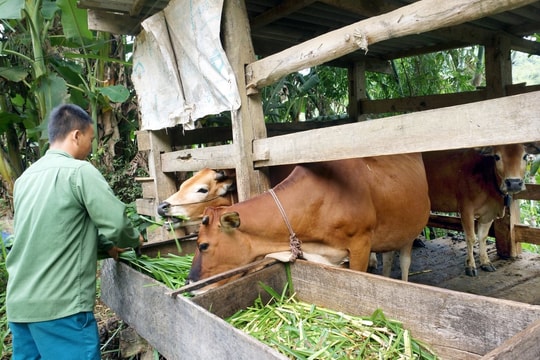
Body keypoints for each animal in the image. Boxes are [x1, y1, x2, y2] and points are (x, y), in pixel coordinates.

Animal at [187, 153, 430, 290]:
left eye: (203, 245)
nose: (189, 283)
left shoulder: (361, 244)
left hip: (410, 231)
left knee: (404, 262)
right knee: (388, 259)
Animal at [422, 143, 528, 276]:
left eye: (525, 156)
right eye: (497, 157)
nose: (513, 183)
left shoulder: (488, 213)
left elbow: (482, 236)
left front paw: (485, 262)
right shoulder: (466, 210)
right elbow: (471, 238)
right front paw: (470, 265)